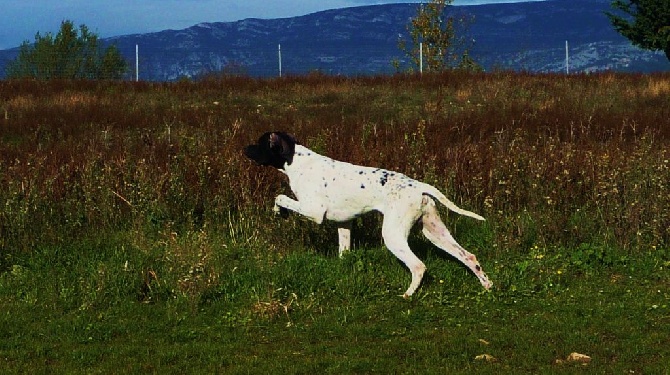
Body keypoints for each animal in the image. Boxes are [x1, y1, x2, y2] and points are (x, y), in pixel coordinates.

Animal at [247, 132, 494, 300]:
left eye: (260, 143)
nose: (244, 148)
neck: (298, 162)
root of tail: (419, 186)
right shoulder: (344, 224)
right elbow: (344, 253)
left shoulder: (313, 211)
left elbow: (280, 197)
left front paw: (279, 211)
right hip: (435, 233)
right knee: (469, 257)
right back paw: (487, 285)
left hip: (393, 235)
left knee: (418, 266)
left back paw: (407, 295)